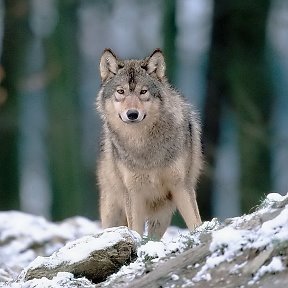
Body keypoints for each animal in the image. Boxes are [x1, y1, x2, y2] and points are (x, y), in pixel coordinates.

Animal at [97, 49, 202, 238]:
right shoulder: (133, 193)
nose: (132, 114)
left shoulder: (182, 186)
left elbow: (195, 222)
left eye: (143, 91)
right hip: (113, 214)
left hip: (161, 216)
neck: (143, 144)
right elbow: (135, 231)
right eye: (121, 91)